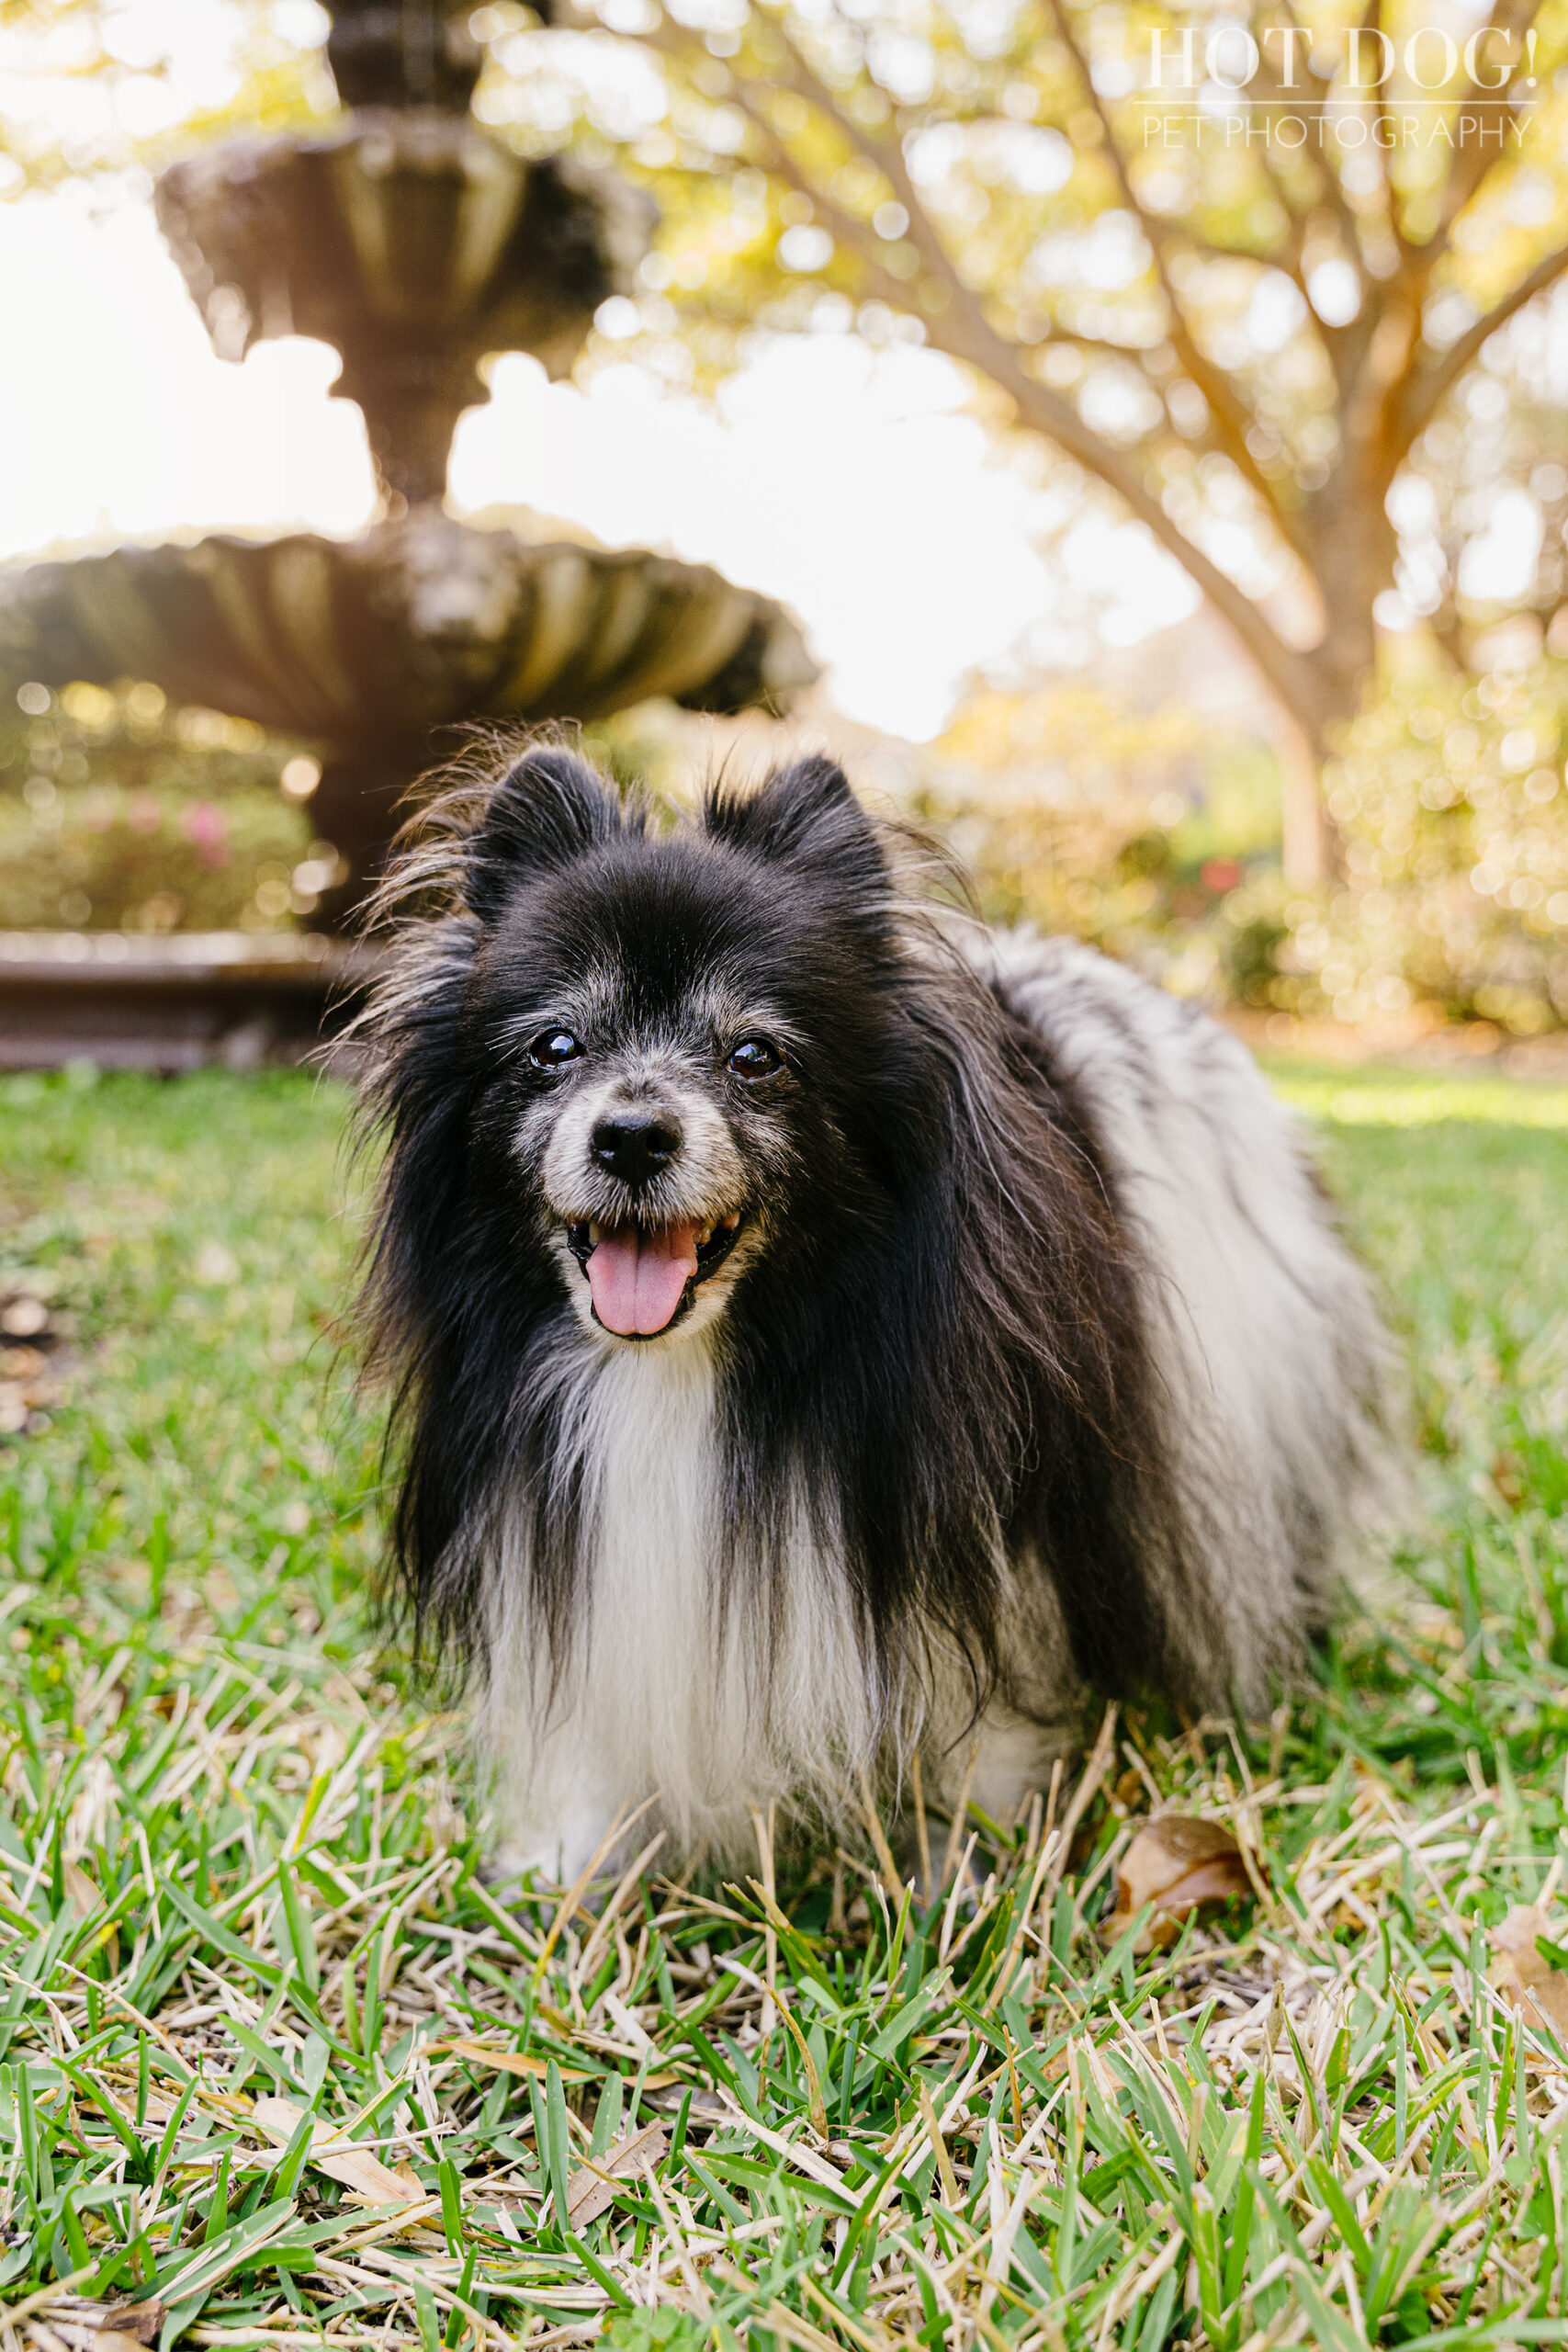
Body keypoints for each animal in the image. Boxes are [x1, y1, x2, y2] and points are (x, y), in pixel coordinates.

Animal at [352, 742, 1382, 1882]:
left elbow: (984, 1724)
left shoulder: (970, 1534)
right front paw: (578, 1868)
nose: (630, 1136)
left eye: (755, 1056)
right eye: (555, 1047)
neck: (696, 1363)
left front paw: (957, 1869)